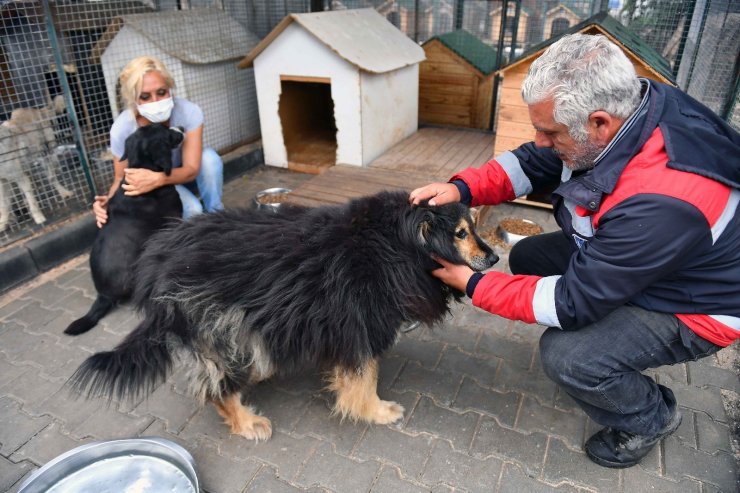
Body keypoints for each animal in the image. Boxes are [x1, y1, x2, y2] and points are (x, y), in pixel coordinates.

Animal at [0, 97, 73, 233]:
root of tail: (38, 110)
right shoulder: (2, 181)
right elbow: (4, 205)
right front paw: (3, 223)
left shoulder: (20, 177)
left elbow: (32, 201)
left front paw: (39, 218)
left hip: (48, 154)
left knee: (52, 177)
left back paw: (64, 192)